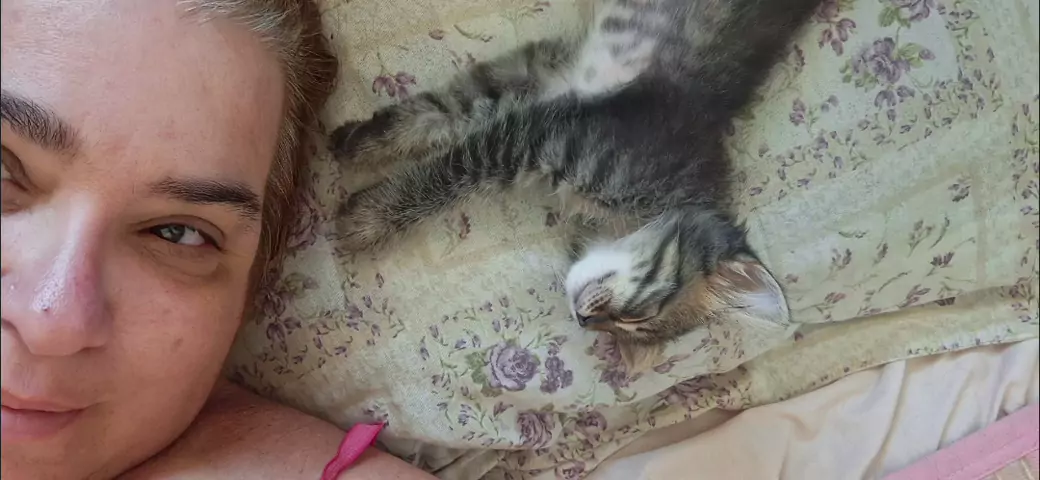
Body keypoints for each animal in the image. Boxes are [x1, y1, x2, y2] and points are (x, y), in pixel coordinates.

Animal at [330, 0, 820, 369]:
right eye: (640, 315)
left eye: (623, 330)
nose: (584, 319)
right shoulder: (541, 134)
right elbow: (444, 169)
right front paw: (368, 218)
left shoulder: (543, 90)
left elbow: (443, 111)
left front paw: (357, 146)